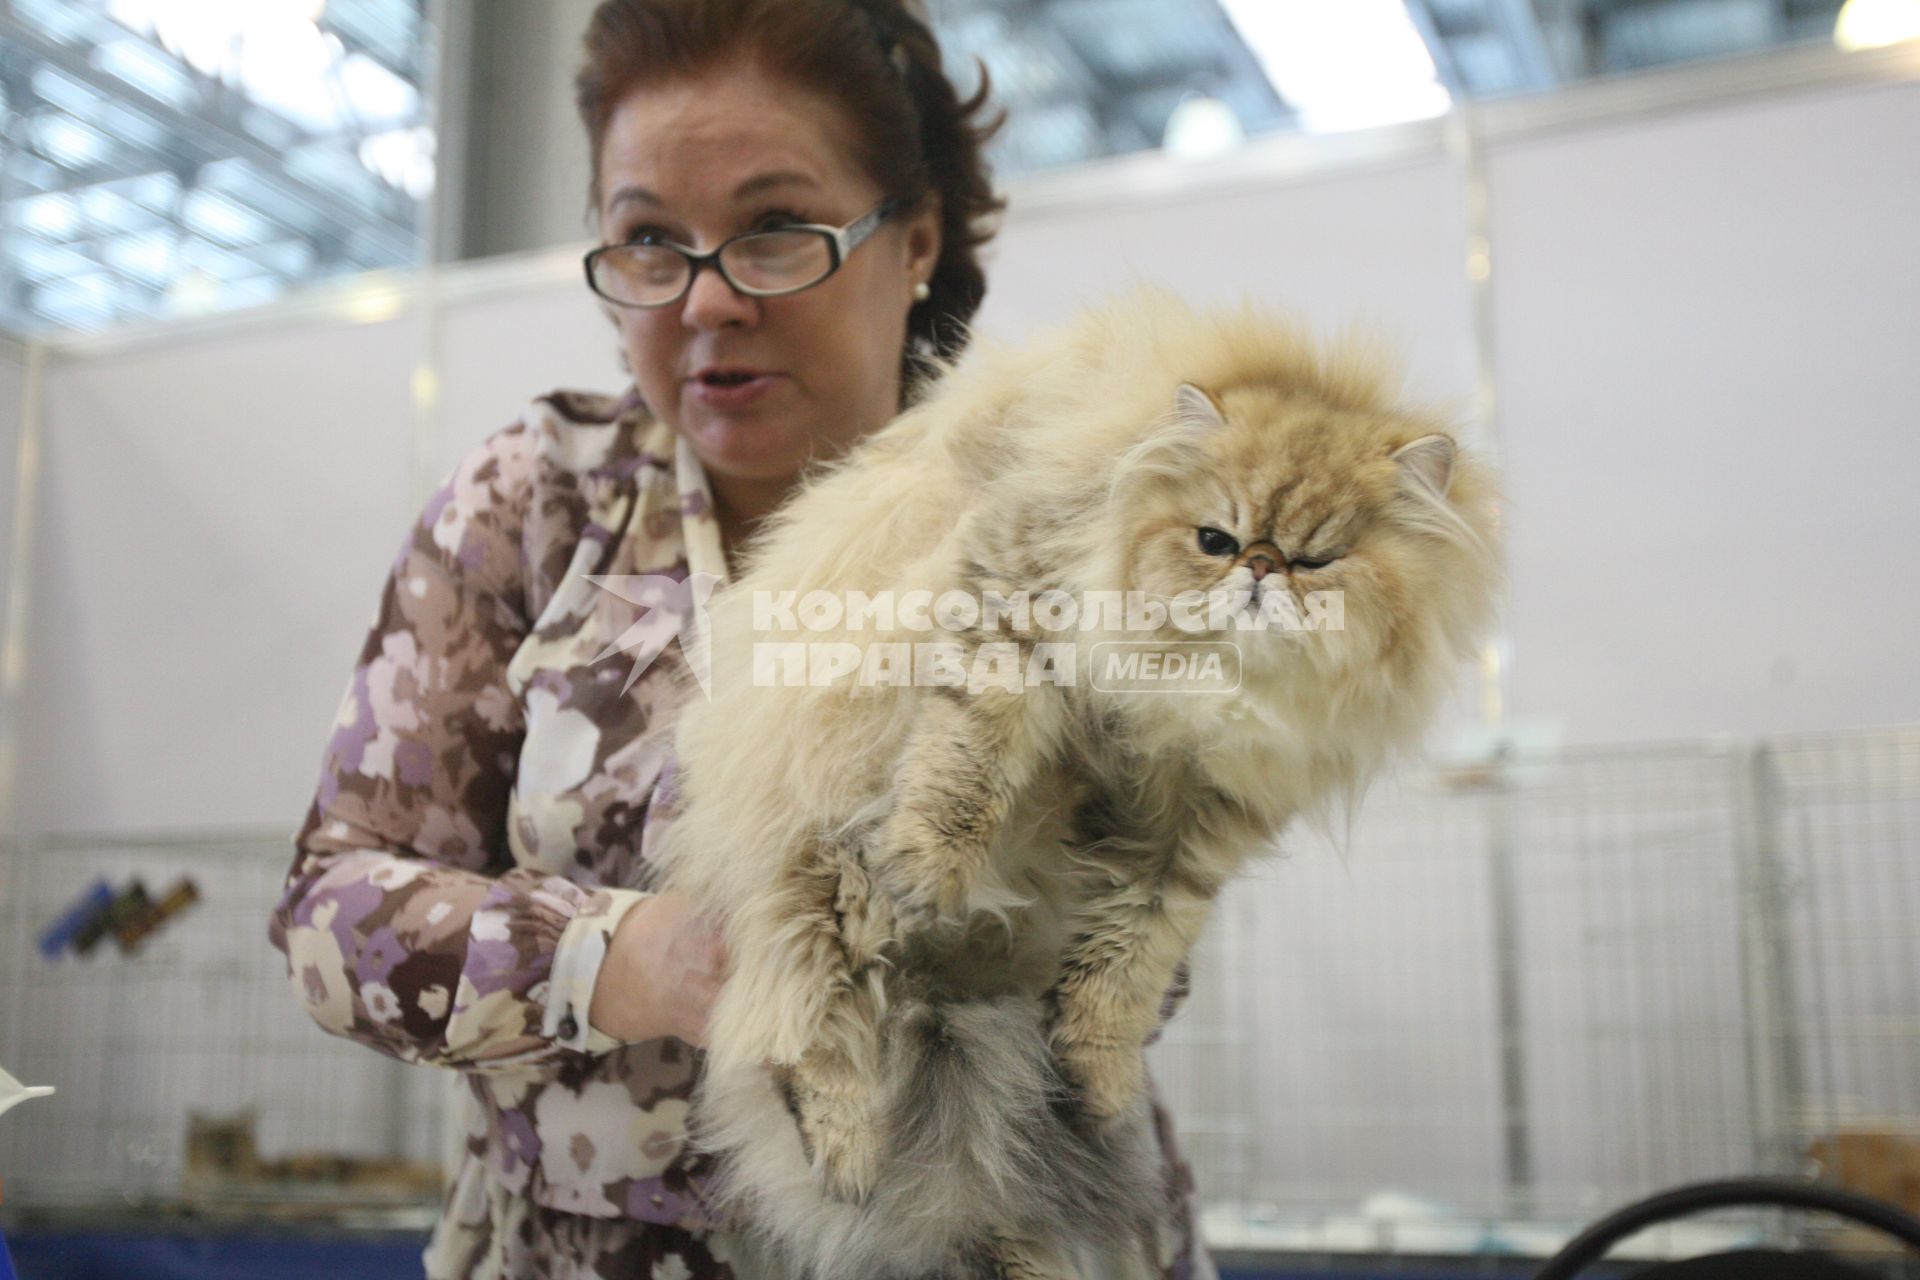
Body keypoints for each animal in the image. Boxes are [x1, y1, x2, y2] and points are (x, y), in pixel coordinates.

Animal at [652, 287, 1505, 1280]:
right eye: (1214, 540)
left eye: (1318, 560)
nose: (1259, 568)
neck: (1207, 689)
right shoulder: (1011, 604)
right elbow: (964, 770)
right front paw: (932, 872)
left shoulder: (1195, 824)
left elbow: (1131, 959)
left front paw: (1098, 1076)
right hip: (819, 869)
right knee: (803, 1025)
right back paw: (849, 1153)